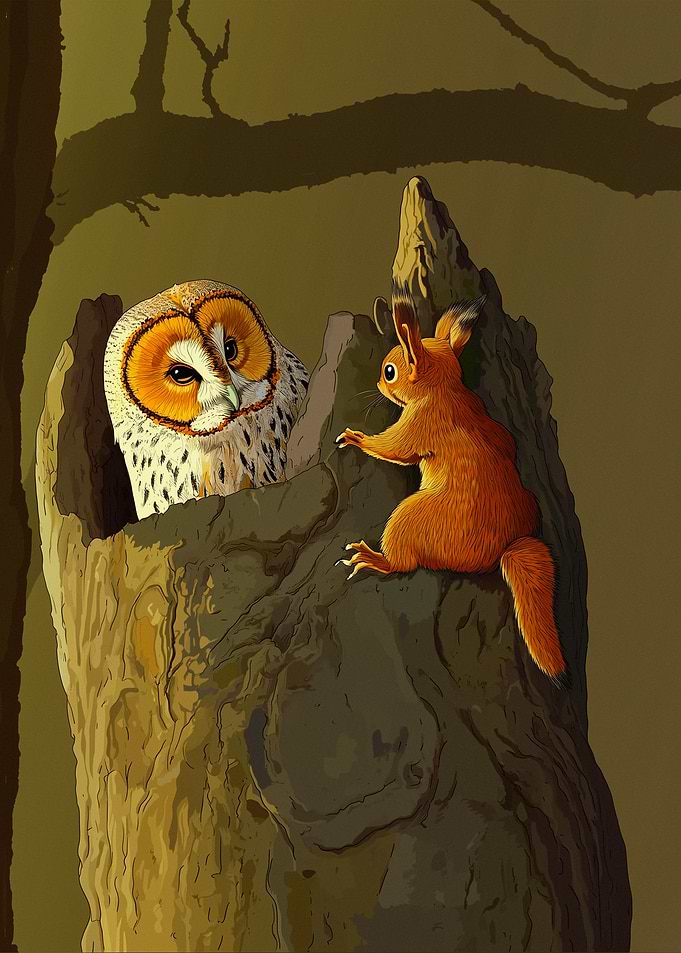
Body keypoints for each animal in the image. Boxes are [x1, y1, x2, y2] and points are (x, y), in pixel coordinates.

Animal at [335, 285, 566, 682]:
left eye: (390, 371)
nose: (378, 381)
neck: (445, 388)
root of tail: (503, 548)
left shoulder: (419, 425)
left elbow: (394, 448)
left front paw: (357, 438)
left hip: (408, 519)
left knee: (401, 564)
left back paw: (373, 558)